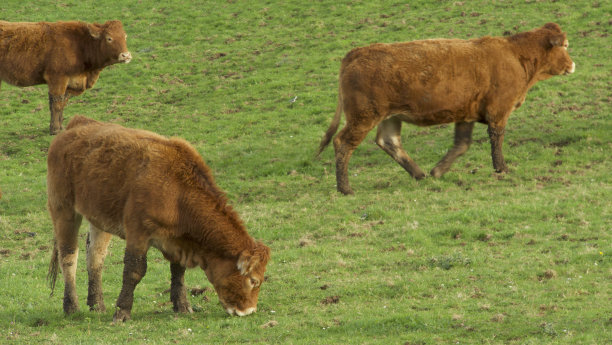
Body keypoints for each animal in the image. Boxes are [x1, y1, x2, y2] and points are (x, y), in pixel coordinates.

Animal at [0, 19, 131, 134]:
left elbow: (62, 103)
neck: (80, 44)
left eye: (125, 36)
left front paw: (60, 127)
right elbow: (56, 104)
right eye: (109, 38)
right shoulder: (57, 79)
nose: (126, 55)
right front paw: (55, 130)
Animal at [45, 115, 270, 320]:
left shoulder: (179, 241)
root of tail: (77, 124)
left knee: (95, 257)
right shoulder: (138, 232)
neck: (177, 192)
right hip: (63, 209)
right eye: (253, 280)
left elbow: (178, 271)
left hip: (99, 217)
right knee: (68, 257)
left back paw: (97, 305)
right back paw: (71, 307)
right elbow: (134, 271)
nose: (249, 310)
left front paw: (182, 305)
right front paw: (122, 312)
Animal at [318, 23, 576, 195]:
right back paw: (345, 188)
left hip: (389, 116)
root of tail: (357, 52)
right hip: (363, 116)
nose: (573, 64)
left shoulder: (467, 114)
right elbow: (496, 139)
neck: (514, 55)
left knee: (389, 141)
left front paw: (438, 171)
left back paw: (419, 173)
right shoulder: (498, 110)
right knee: (343, 143)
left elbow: (462, 144)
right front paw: (501, 168)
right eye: (565, 45)